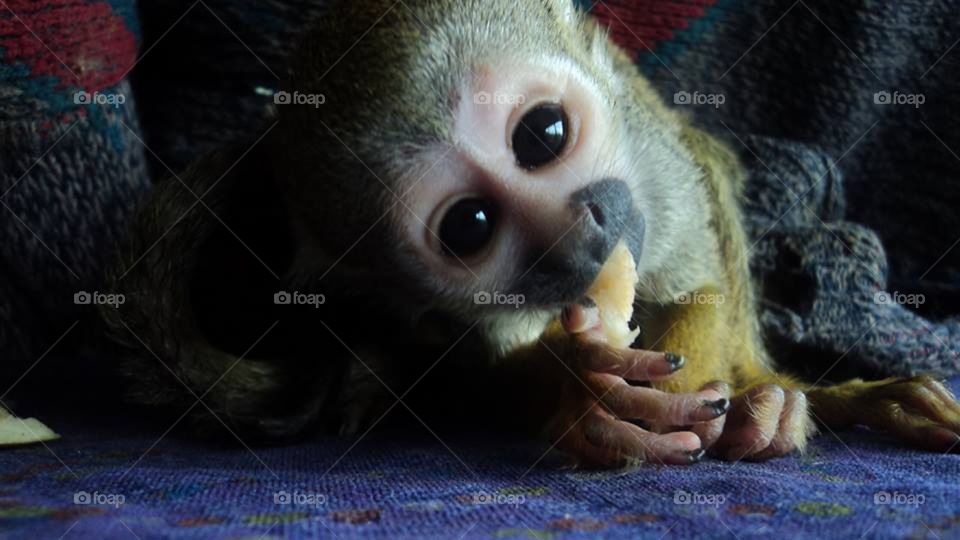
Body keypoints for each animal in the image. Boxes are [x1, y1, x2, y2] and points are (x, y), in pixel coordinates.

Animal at [103, 0, 960, 468]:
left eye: (543, 134)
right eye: (470, 226)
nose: (580, 231)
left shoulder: (649, 152)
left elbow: (703, 264)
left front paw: (713, 399)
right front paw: (588, 400)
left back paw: (782, 402)